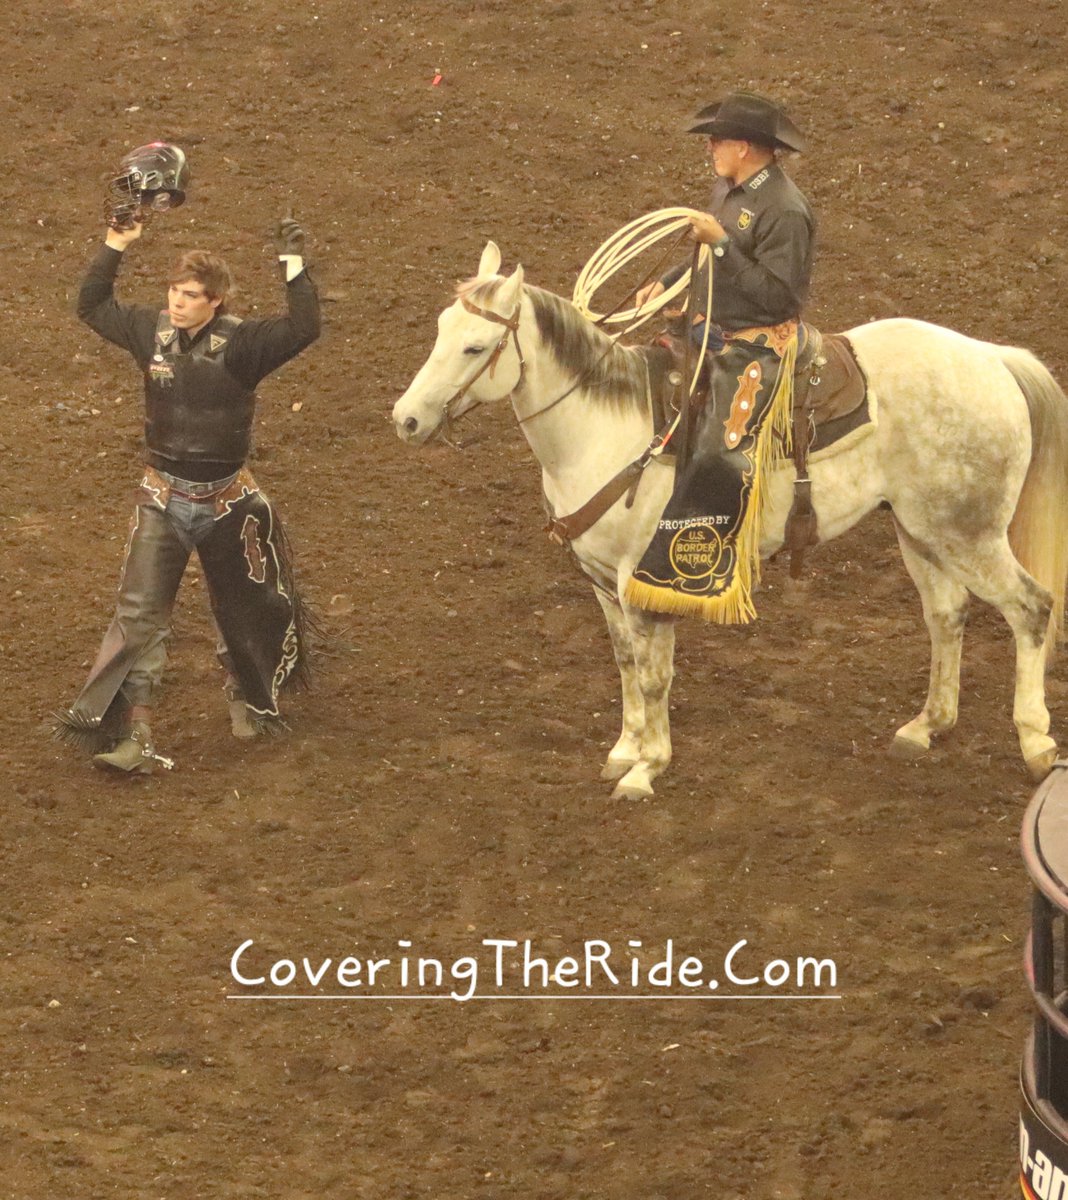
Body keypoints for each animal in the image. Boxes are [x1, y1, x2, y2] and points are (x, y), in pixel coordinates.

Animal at [396, 241, 1065, 796]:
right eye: (440, 329)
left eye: (475, 347)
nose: (406, 419)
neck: (603, 429)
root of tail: (995, 360)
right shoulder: (602, 582)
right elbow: (625, 664)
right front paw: (625, 748)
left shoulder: (645, 579)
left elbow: (654, 676)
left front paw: (647, 768)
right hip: (921, 530)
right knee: (947, 614)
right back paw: (927, 725)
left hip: (969, 533)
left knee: (1031, 609)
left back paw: (1036, 742)